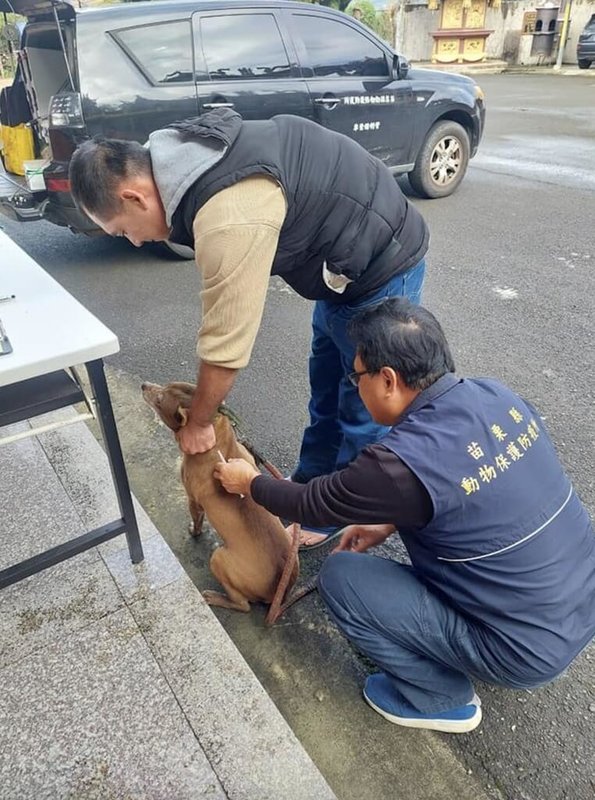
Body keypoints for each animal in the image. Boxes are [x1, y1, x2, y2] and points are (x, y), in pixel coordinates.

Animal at [140, 380, 298, 612]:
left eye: (160, 400)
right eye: (165, 385)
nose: (143, 385)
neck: (217, 439)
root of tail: (279, 592)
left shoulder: (193, 500)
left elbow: (197, 521)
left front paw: (194, 532)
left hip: (219, 558)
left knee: (243, 604)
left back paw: (215, 597)